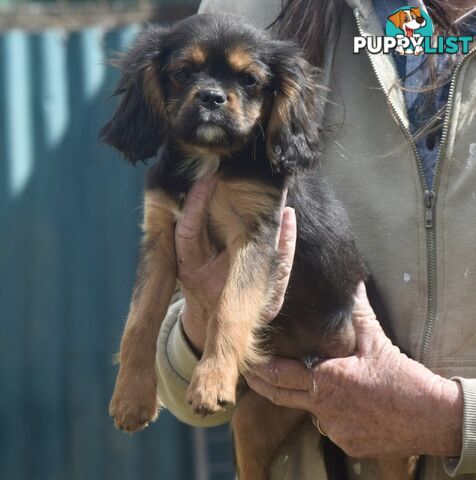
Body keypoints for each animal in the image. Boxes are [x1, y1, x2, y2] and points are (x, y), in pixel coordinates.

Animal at [102, 13, 414, 478]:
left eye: (249, 80)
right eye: (183, 72)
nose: (212, 97)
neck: (211, 159)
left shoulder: (258, 235)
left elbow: (229, 307)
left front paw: (211, 381)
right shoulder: (161, 236)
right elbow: (139, 320)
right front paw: (131, 398)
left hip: (385, 436)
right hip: (255, 418)